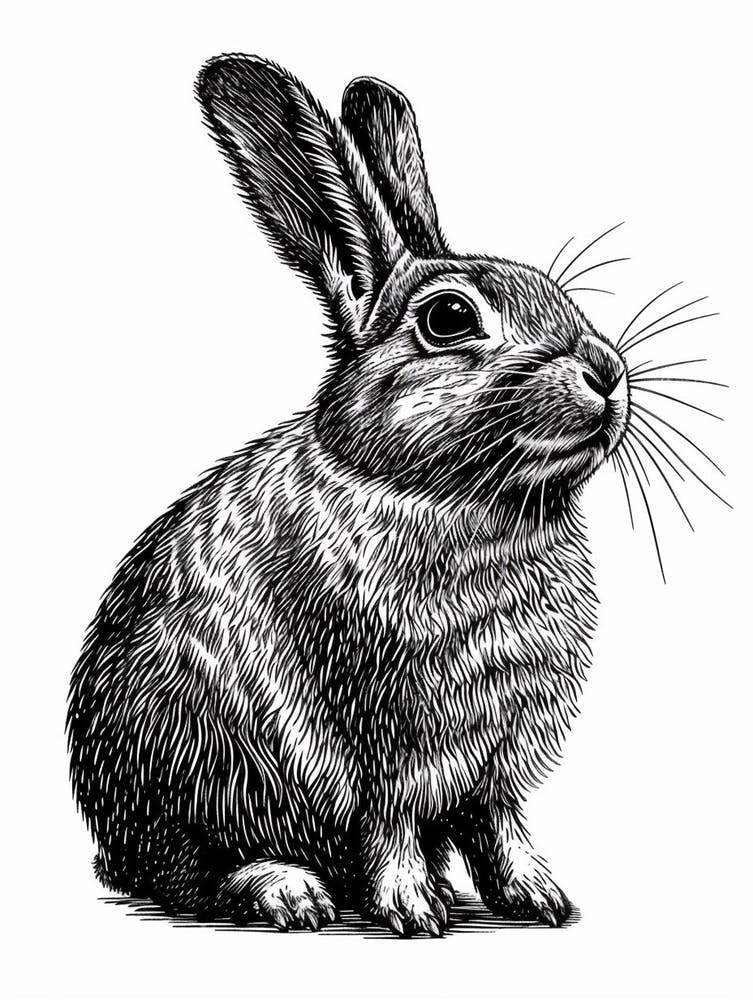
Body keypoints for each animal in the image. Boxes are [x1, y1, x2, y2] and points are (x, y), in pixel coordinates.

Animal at [67, 53, 629, 937]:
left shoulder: (496, 765)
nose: (604, 370)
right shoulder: (381, 741)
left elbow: (499, 824)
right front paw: (412, 912)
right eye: (448, 318)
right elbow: (390, 821)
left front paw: (539, 897)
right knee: (183, 873)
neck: (452, 498)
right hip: (190, 761)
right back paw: (288, 892)